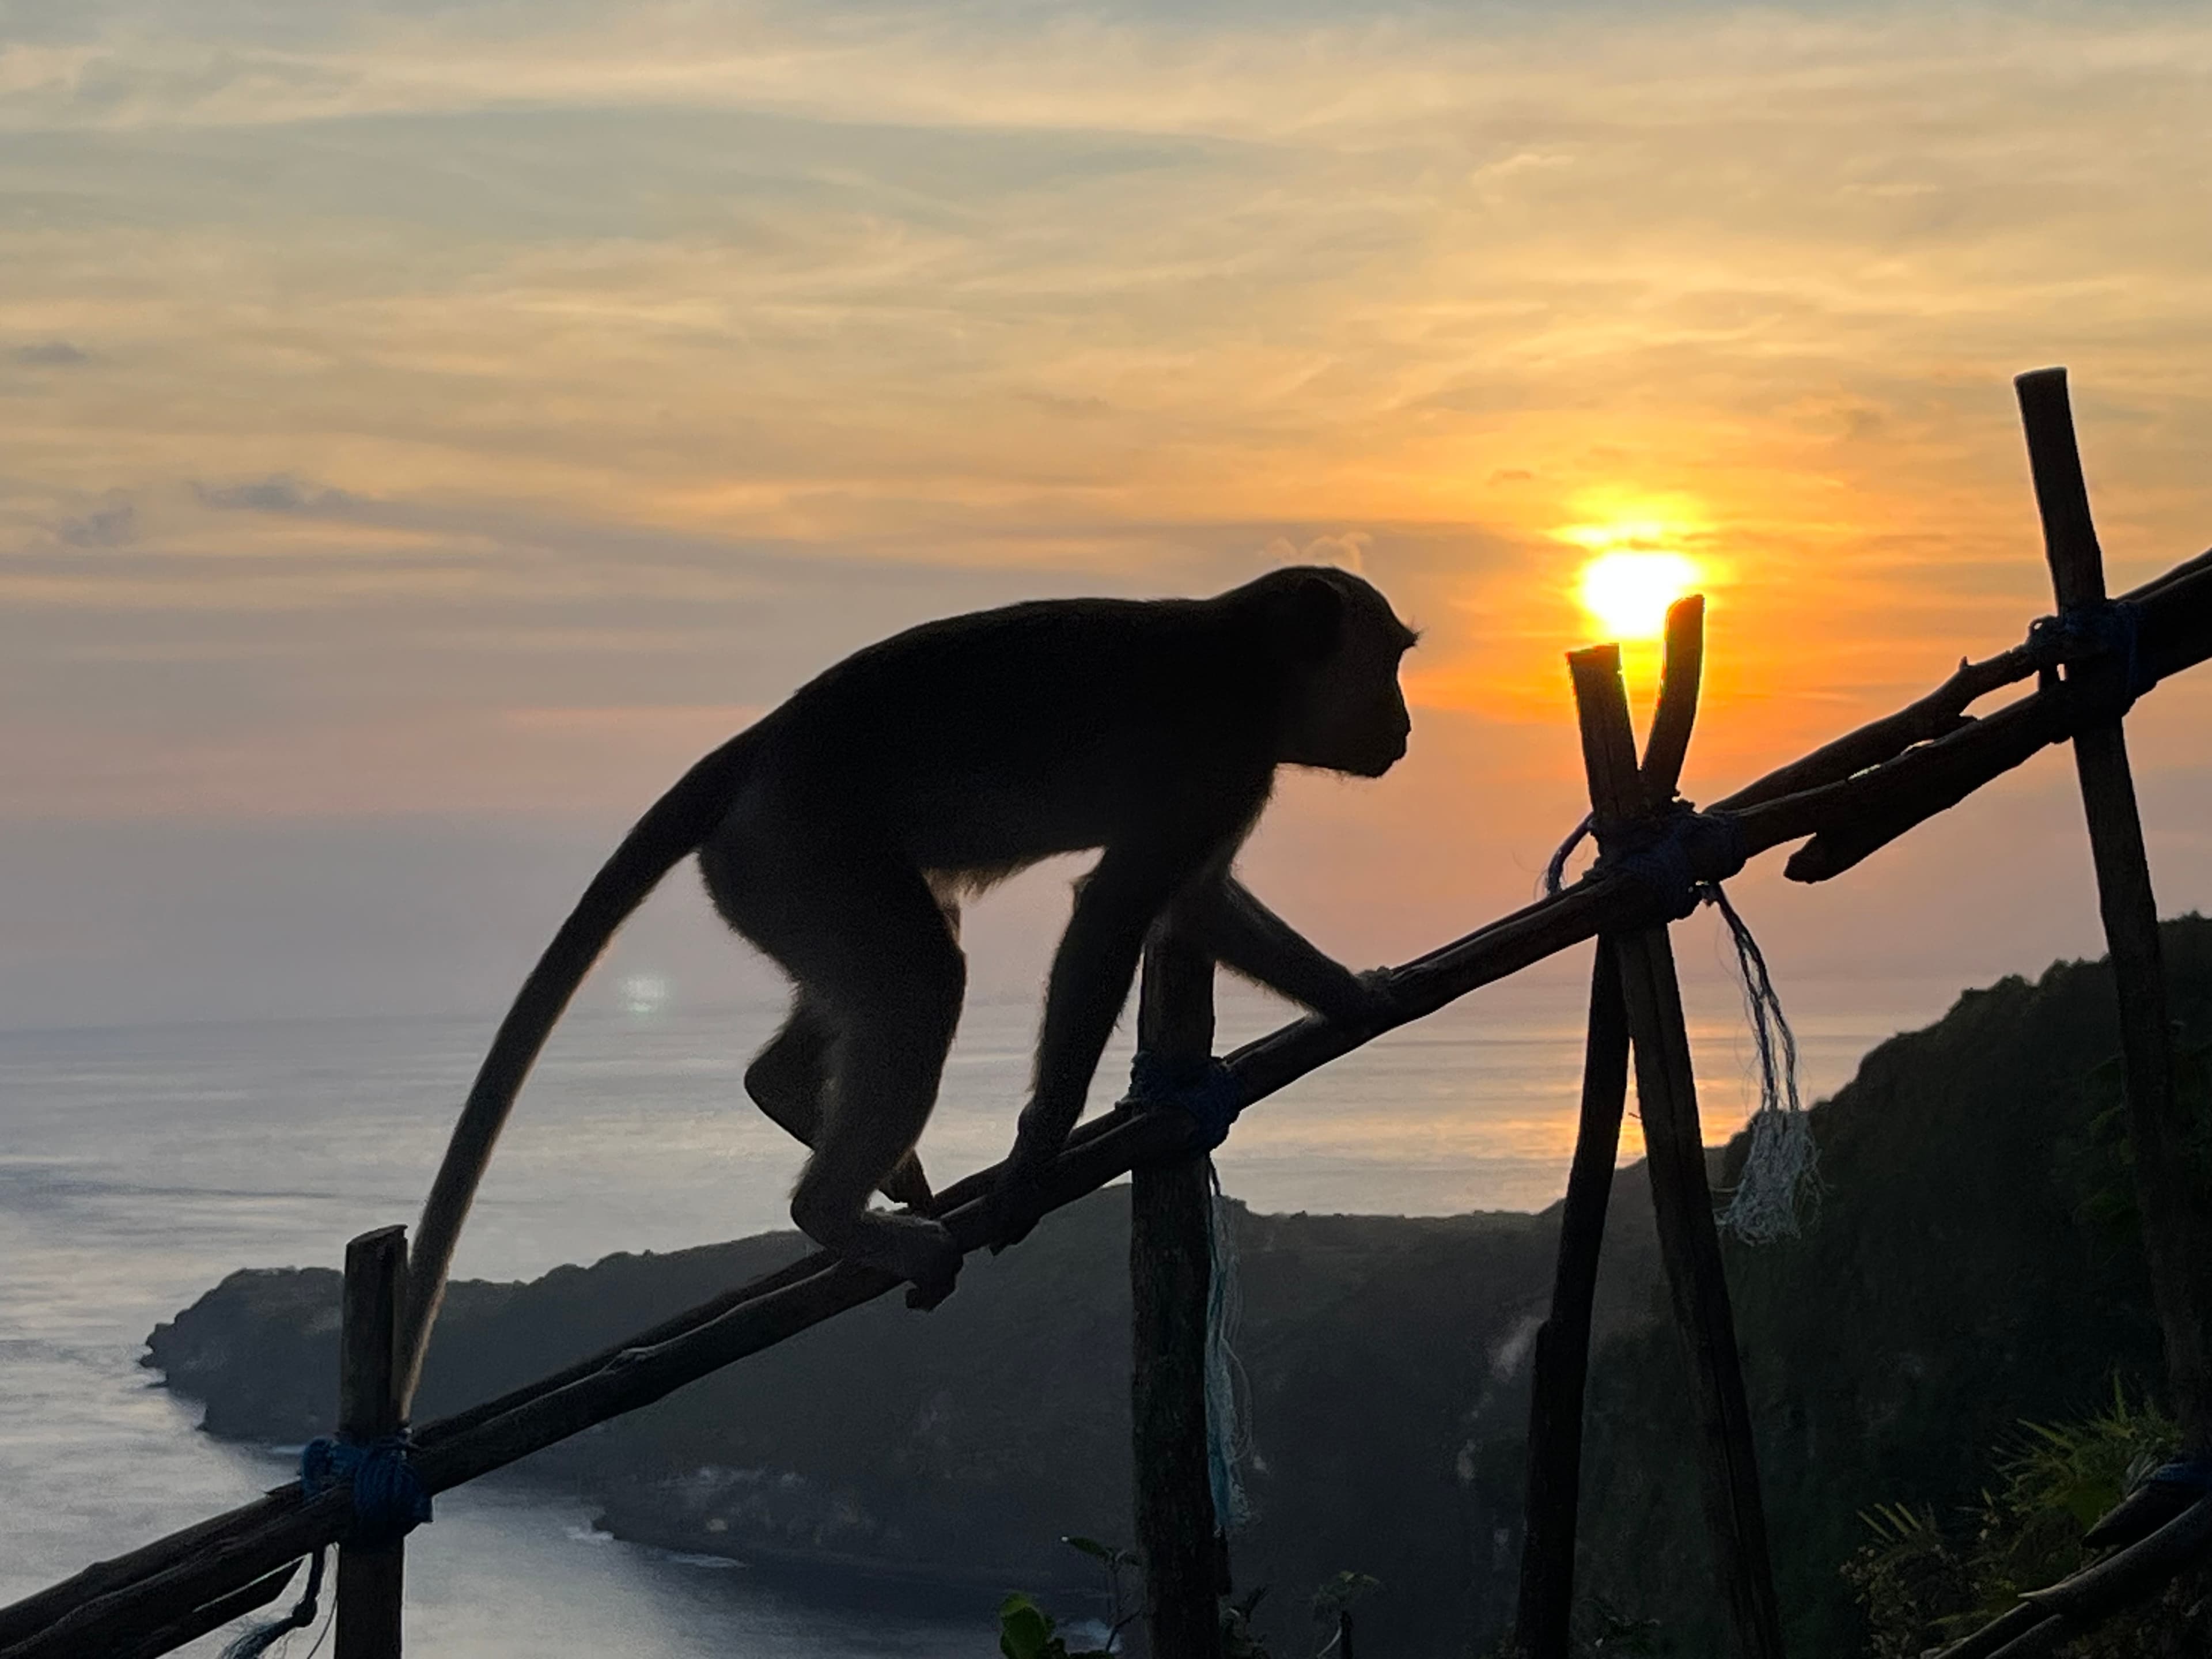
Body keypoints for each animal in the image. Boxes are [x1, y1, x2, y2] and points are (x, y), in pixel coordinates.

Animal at [395, 565, 1416, 1406]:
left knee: (904, 959)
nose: (1407, 726)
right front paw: (1034, 1158)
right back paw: (832, 1213)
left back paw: (786, 1090)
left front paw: (1354, 997)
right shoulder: (1221, 758)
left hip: (777, 875)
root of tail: (760, 746)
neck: (1251, 664)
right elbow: (1115, 914)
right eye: (1392, 663)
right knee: (923, 976)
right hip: (798, 850)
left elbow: (1193, 904)